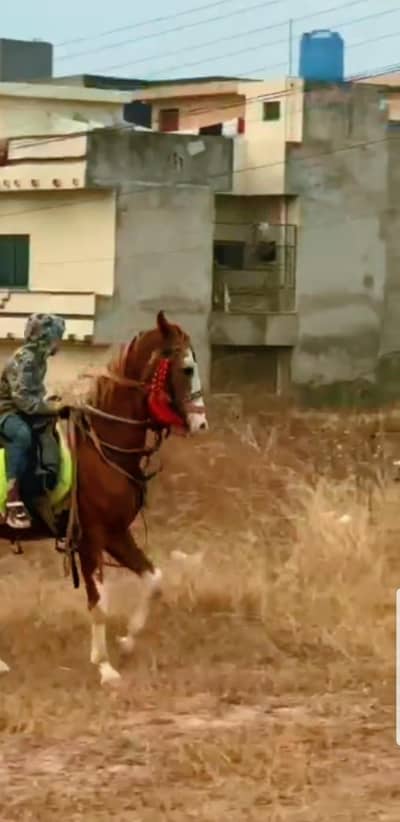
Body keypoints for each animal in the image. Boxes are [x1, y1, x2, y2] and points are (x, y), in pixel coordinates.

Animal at [0, 311, 208, 683]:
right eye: (186, 367)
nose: (201, 423)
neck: (104, 446)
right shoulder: (90, 539)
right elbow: (99, 604)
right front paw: (105, 667)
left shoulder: (115, 534)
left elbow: (153, 580)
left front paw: (125, 643)